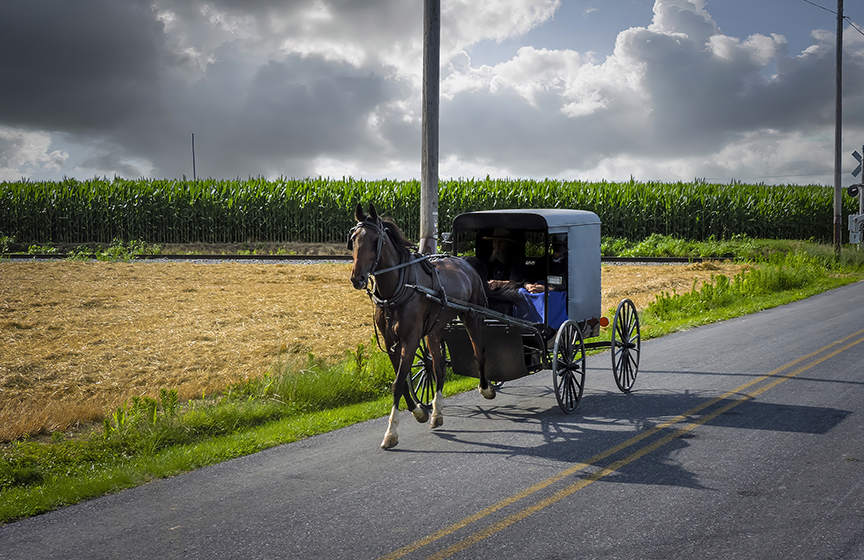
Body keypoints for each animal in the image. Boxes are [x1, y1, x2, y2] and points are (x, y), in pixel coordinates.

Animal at [346, 203, 492, 448]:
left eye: (376, 240)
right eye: (353, 239)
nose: (357, 278)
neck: (398, 288)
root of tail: (464, 261)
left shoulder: (411, 339)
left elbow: (397, 383)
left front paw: (391, 432)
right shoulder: (391, 342)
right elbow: (403, 381)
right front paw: (419, 412)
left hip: (473, 316)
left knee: (479, 353)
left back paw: (486, 388)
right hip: (435, 329)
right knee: (439, 367)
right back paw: (437, 412)